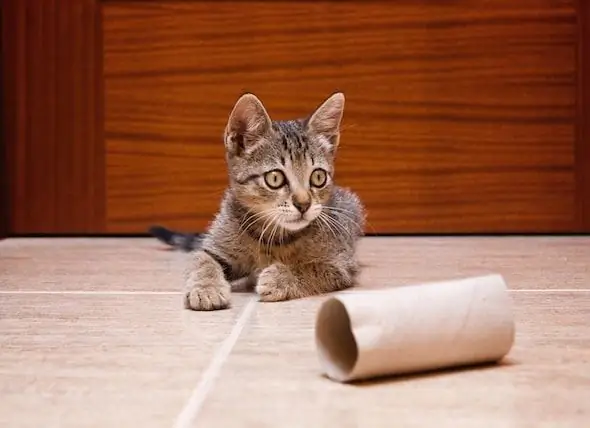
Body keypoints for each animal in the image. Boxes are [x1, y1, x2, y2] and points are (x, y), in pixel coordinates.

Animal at [184, 92, 366, 310]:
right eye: (275, 178)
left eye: (318, 177)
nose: (304, 204)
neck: (276, 237)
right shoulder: (216, 248)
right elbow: (203, 261)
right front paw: (205, 288)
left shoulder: (340, 264)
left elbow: (312, 267)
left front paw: (280, 277)